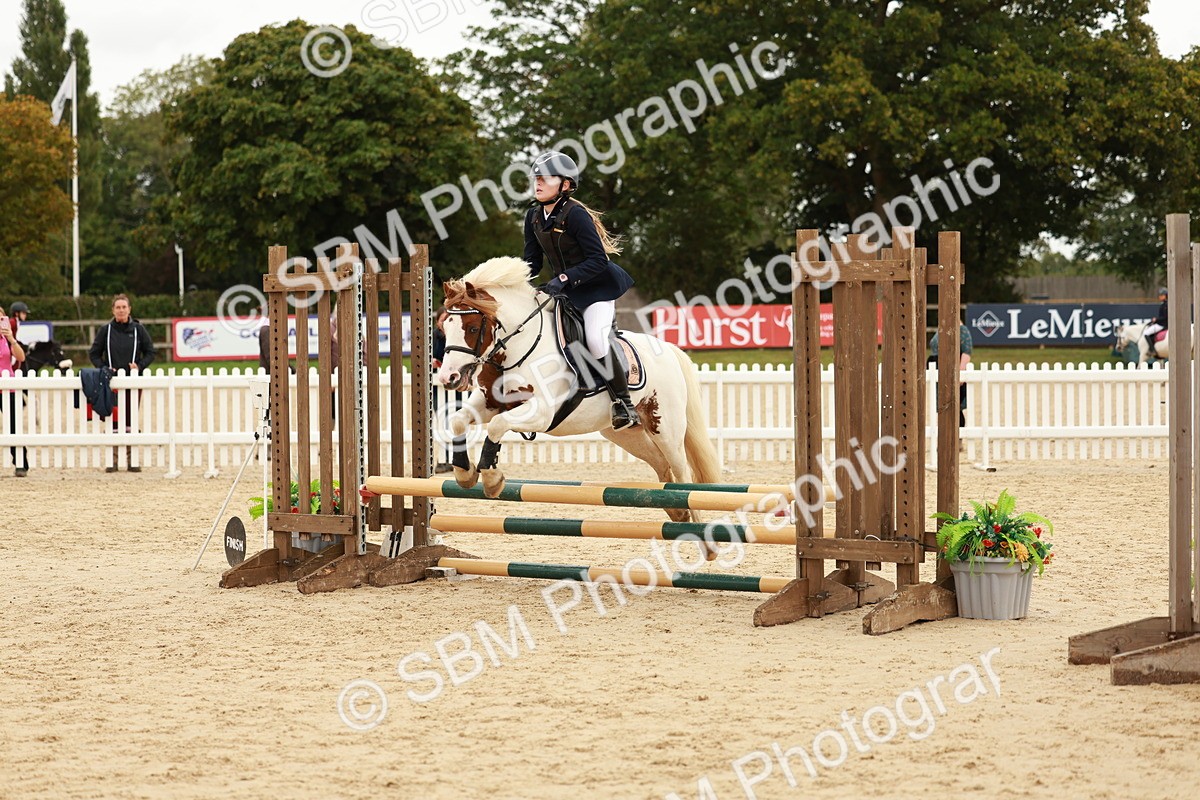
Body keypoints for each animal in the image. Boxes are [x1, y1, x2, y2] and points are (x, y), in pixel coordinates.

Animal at [437, 256, 722, 526]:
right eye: (442, 327)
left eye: (473, 328)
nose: (448, 377)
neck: (518, 347)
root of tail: (668, 349)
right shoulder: (489, 403)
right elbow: (459, 420)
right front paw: (465, 473)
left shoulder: (541, 413)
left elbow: (496, 426)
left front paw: (492, 478)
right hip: (625, 434)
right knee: (661, 466)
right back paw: (677, 512)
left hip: (665, 428)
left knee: (681, 473)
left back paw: (696, 529)